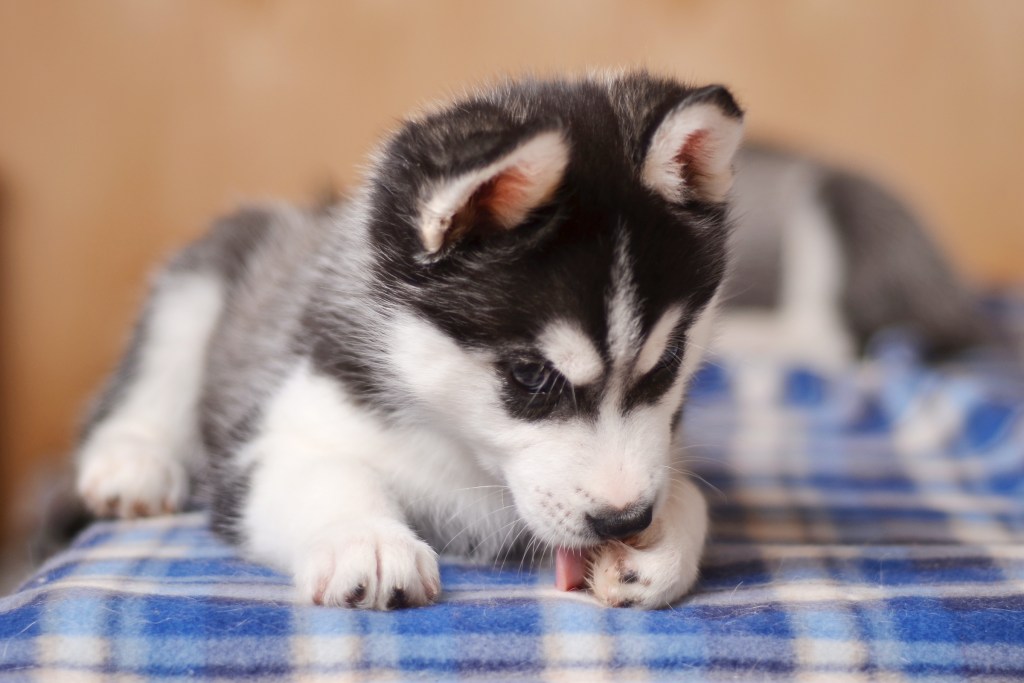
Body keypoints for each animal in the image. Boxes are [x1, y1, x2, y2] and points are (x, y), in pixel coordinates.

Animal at [74, 73, 745, 610]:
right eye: (531, 376)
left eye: (670, 361)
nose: (625, 518)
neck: (459, 450)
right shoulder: (278, 432)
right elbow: (326, 475)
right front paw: (365, 539)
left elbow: (692, 494)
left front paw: (661, 548)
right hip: (203, 278)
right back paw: (133, 461)